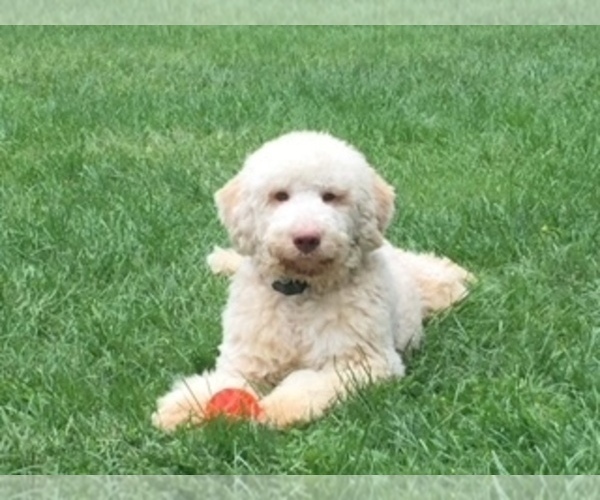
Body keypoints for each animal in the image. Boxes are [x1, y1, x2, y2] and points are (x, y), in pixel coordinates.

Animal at [152, 130, 472, 430]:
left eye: (330, 196)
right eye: (280, 195)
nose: (306, 238)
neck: (300, 292)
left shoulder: (364, 362)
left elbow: (308, 383)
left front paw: (280, 407)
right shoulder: (246, 362)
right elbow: (220, 382)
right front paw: (182, 407)